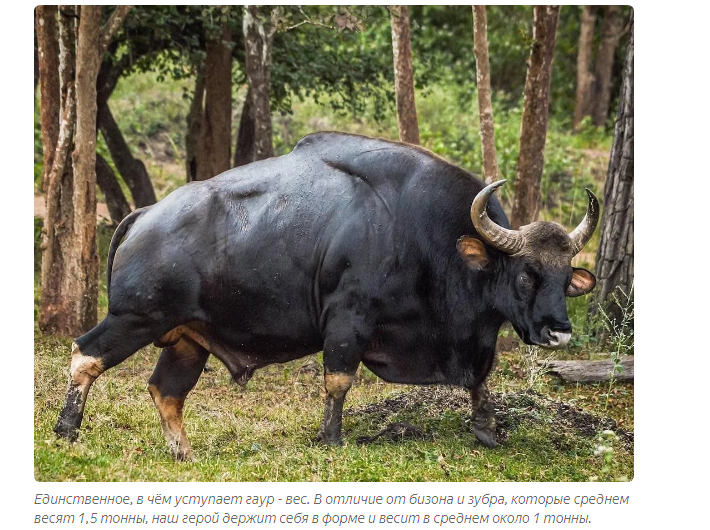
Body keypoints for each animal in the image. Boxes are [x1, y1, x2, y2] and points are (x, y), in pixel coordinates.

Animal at [57, 130, 600, 456]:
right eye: (526, 274)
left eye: (565, 277)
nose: (558, 332)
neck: (425, 237)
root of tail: (143, 216)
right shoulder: (346, 321)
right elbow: (338, 380)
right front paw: (332, 437)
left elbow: (481, 379)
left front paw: (487, 430)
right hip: (134, 317)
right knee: (85, 354)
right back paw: (67, 428)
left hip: (188, 338)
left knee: (165, 389)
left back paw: (183, 452)